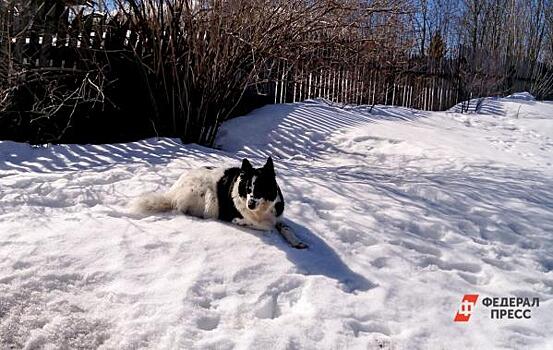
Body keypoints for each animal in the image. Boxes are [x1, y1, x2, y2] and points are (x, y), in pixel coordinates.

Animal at [134, 156, 306, 249]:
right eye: (248, 189)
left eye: (261, 189)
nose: (250, 205)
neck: (261, 210)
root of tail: (173, 191)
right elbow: (267, 226)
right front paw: (242, 222)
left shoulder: (277, 215)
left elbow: (286, 228)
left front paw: (297, 242)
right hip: (205, 195)